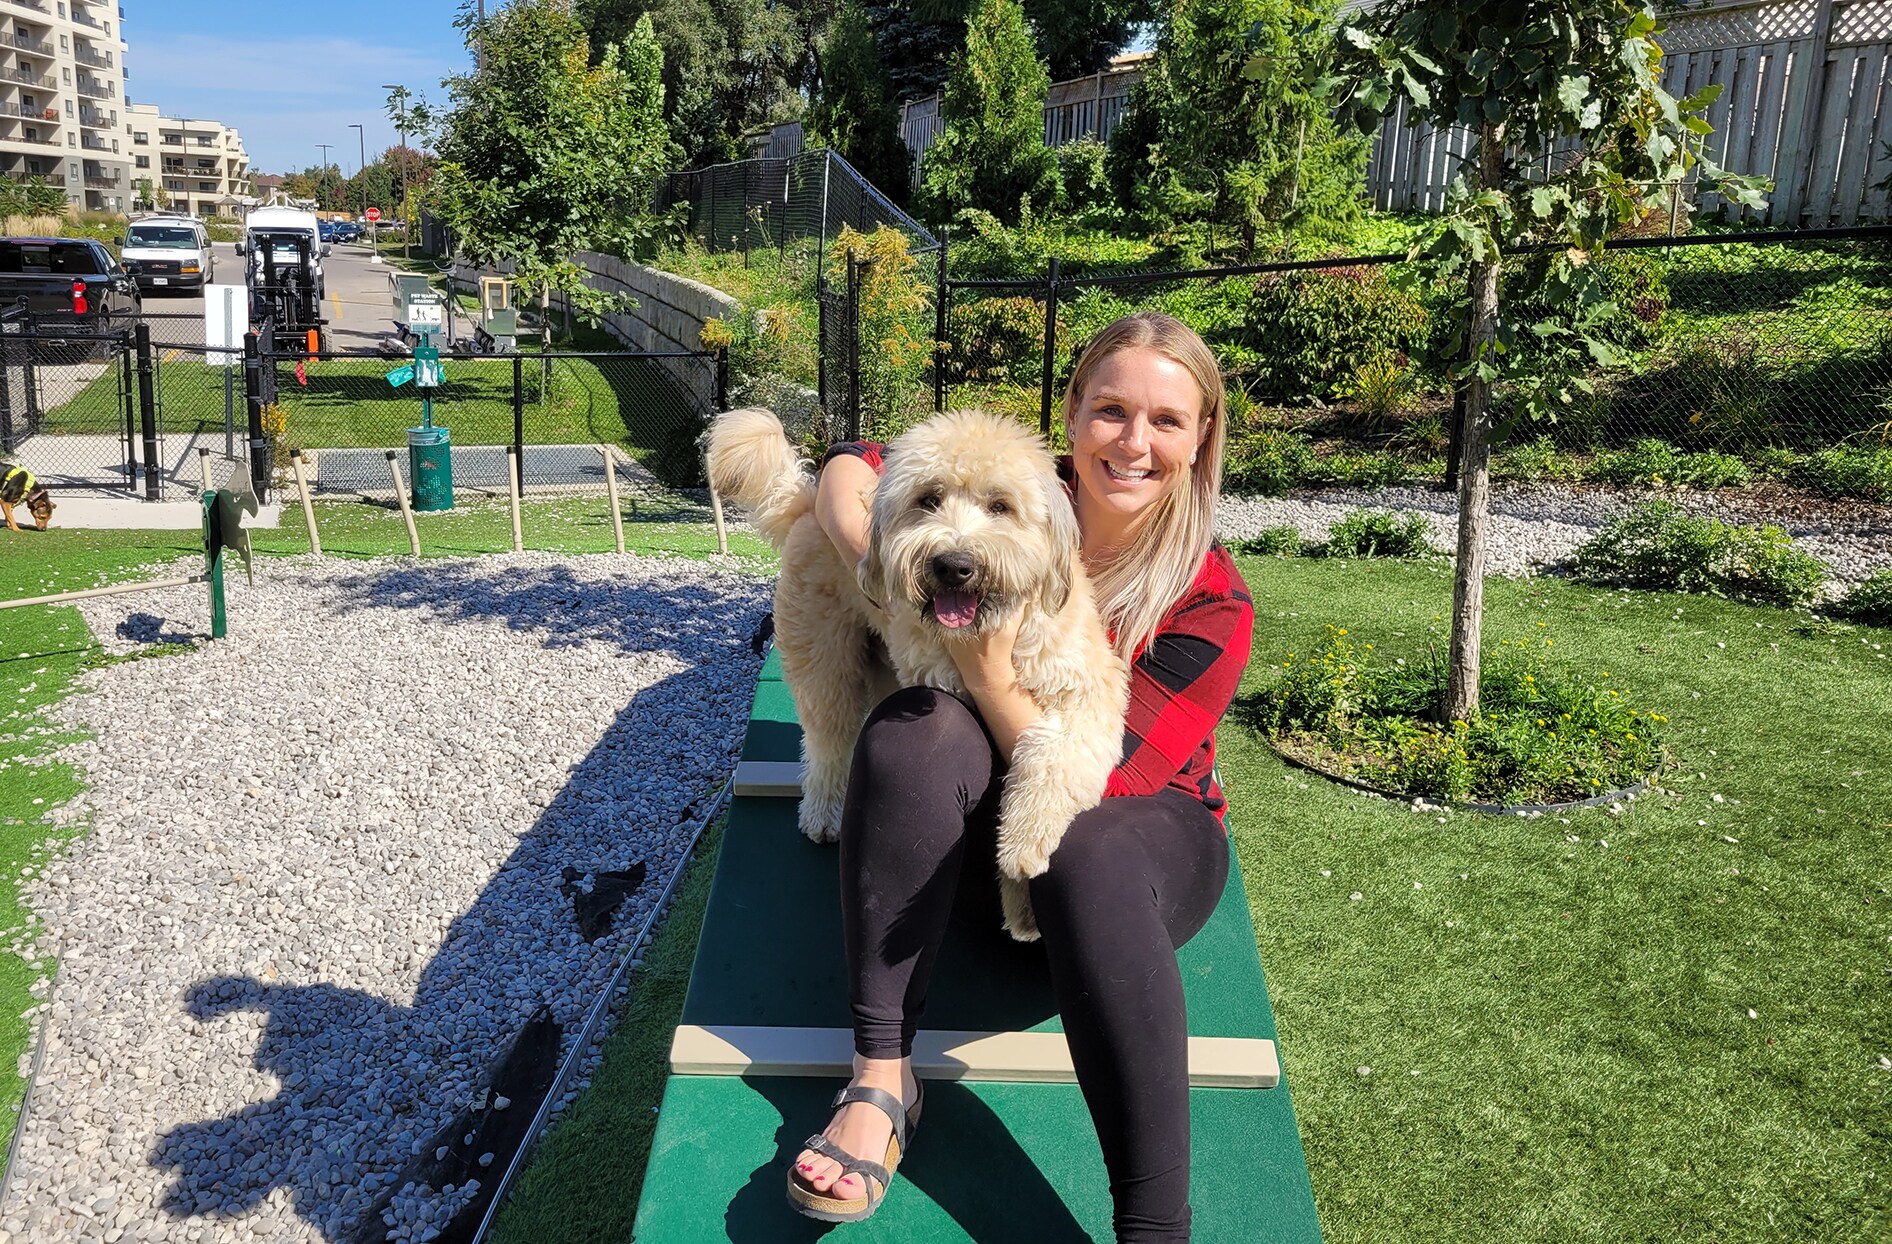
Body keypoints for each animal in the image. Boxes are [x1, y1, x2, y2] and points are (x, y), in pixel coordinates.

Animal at [707, 410, 1120, 941]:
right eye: (929, 499)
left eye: (1000, 506)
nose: (954, 565)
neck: (993, 632)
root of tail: (807, 502)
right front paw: (1022, 864)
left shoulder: (1089, 692)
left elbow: (1052, 755)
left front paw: (1022, 873)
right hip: (826, 662)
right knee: (826, 743)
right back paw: (824, 813)